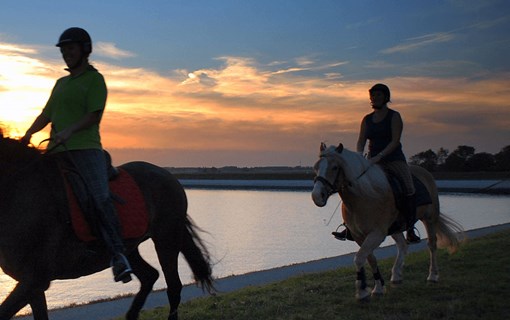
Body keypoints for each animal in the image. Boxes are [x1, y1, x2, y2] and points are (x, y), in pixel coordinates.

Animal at [0, 136, 213, 318]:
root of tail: (169, 176)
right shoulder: (32, 285)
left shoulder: (34, 280)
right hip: (130, 248)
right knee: (149, 276)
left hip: (166, 239)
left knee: (174, 287)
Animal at [308, 144, 464, 302]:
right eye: (316, 167)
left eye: (334, 167)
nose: (317, 196)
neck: (363, 196)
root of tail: (426, 173)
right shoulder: (359, 235)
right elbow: (369, 259)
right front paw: (377, 287)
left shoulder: (377, 233)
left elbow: (359, 258)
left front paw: (362, 290)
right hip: (396, 227)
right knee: (402, 245)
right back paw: (396, 275)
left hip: (429, 218)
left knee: (431, 244)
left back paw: (432, 275)